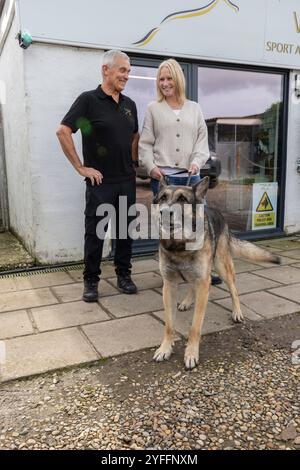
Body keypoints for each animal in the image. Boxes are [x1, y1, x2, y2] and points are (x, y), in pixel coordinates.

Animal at [154, 176, 280, 370]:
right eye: (162, 198)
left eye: (182, 199)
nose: (164, 213)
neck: (179, 246)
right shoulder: (169, 286)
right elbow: (169, 324)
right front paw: (165, 348)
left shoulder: (204, 284)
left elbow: (195, 327)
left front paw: (191, 353)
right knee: (192, 284)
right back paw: (187, 301)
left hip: (222, 267)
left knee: (234, 289)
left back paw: (237, 312)